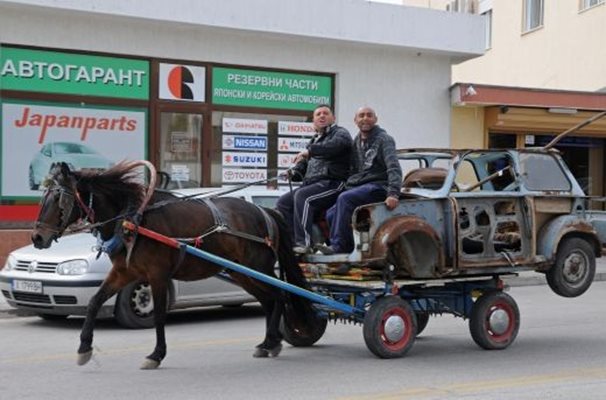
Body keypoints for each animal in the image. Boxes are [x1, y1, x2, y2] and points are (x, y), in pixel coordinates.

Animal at [30, 161, 320, 368]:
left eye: (59, 199)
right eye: (43, 197)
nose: (37, 238)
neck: (134, 219)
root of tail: (266, 212)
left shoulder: (157, 276)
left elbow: (159, 315)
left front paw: (156, 355)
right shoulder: (124, 272)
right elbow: (93, 302)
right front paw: (84, 348)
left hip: (259, 268)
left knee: (280, 296)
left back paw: (273, 341)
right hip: (242, 273)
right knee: (270, 300)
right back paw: (269, 342)